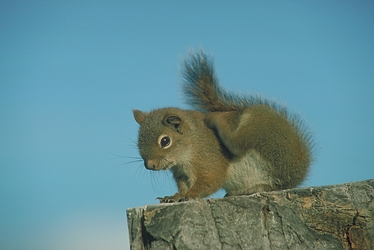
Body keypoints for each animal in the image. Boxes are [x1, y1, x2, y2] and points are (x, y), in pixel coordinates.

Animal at [132, 50, 312, 203]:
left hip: (259, 129)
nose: (150, 165)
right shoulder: (181, 173)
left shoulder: (208, 158)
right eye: (138, 140)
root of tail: (298, 170)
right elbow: (183, 186)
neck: (188, 148)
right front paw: (175, 196)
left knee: (239, 145)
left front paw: (190, 195)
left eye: (165, 141)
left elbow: (211, 180)